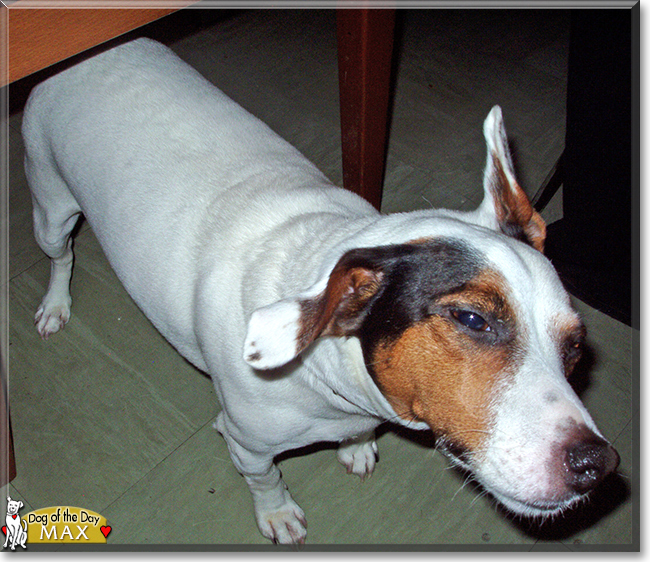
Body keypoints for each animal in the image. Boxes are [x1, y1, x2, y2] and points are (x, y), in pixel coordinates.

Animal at [21, 36, 616, 544]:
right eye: (473, 319)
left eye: (575, 347)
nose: (597, 465)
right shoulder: (247, 443)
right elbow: (264, 481)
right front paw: (277, 513)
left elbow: (356, 436)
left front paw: (357, 447)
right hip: (50, 203)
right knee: (61, 254)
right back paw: (55, 304)